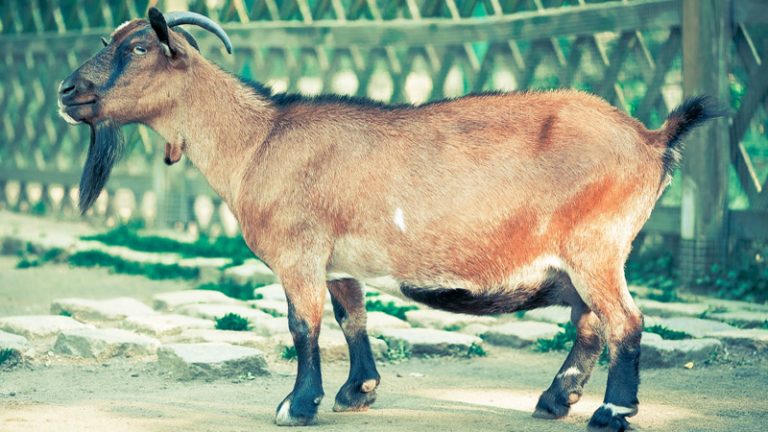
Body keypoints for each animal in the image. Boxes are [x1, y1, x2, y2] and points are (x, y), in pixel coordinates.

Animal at [57, 8, 722, 431]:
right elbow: (352, 318)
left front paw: (297, 405)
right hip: (588, 255)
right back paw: (556, 400)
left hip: (596, 245)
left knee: (625, 322)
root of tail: (651, 139)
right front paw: (359, 391)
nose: (66, 91)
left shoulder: (299, 253)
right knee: (589, 322)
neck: (259, 140)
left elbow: (303, 326)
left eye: (138, 48)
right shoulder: (338, 261)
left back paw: (611, 413)